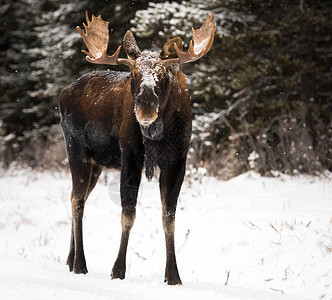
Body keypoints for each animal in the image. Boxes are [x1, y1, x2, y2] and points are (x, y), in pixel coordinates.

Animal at [59, 11, 215, 284]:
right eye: (133, 75)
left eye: (162, 75)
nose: (145, 111)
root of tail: (62, 93)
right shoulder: (130, 156)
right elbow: (128, 213)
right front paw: (118, 270)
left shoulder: (178, 160)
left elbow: (169, 217)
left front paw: (173, 275)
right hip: (76, 149)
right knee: (77, 200)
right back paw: (80, 264)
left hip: (97, 163)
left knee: (76, 197)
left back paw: (70, 259)